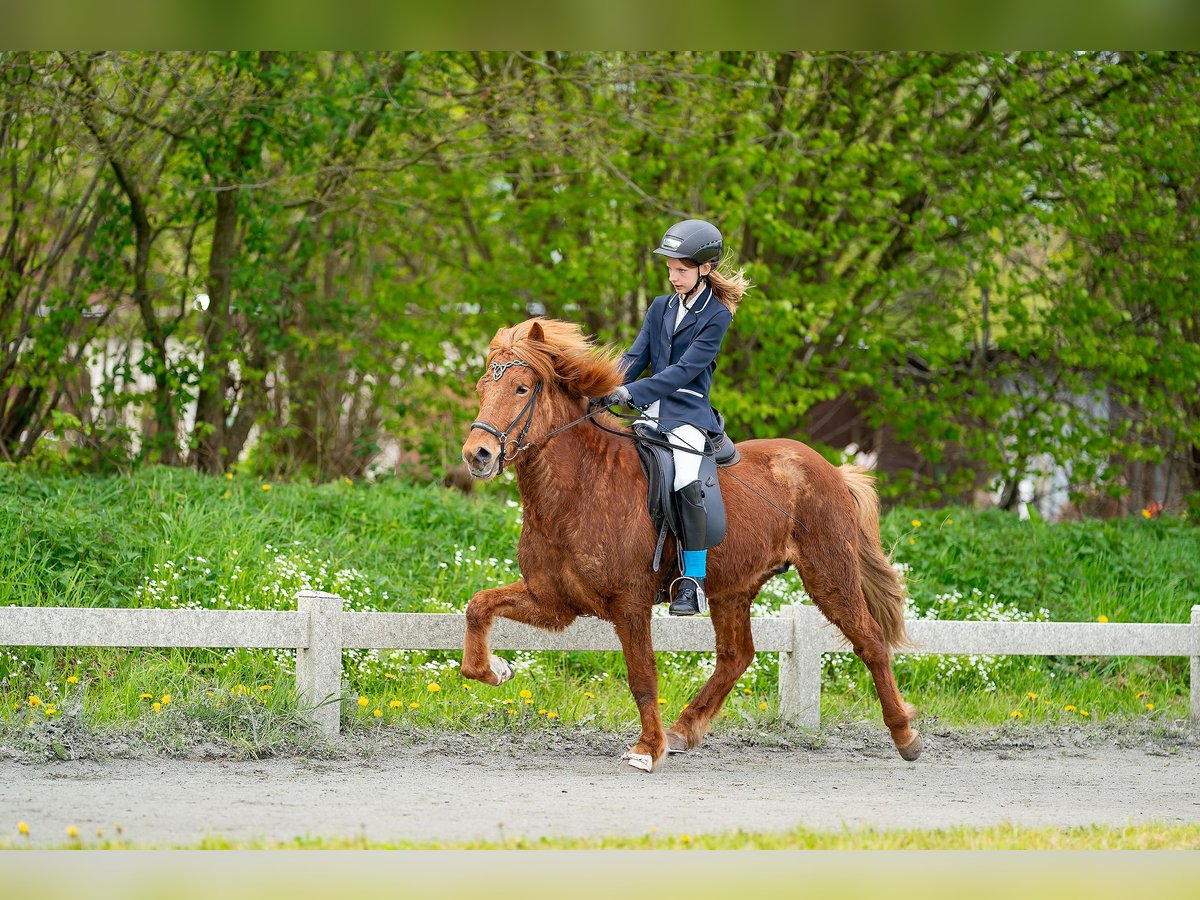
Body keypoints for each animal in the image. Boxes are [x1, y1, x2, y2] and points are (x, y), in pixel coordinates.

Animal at [456, 321, 916, 772]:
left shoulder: (630, 603)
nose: (477, 455)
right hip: (733, 588)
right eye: (482, 388)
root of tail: (831, 470)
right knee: (735, 656)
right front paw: (496, 670)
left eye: (521, 388)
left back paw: (905, 735)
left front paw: (647, 749)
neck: (580, 487)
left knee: (871, 641)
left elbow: (642, 677)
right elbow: (478, 607)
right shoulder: (553, 601)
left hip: (829, 574)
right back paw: (683, 729)